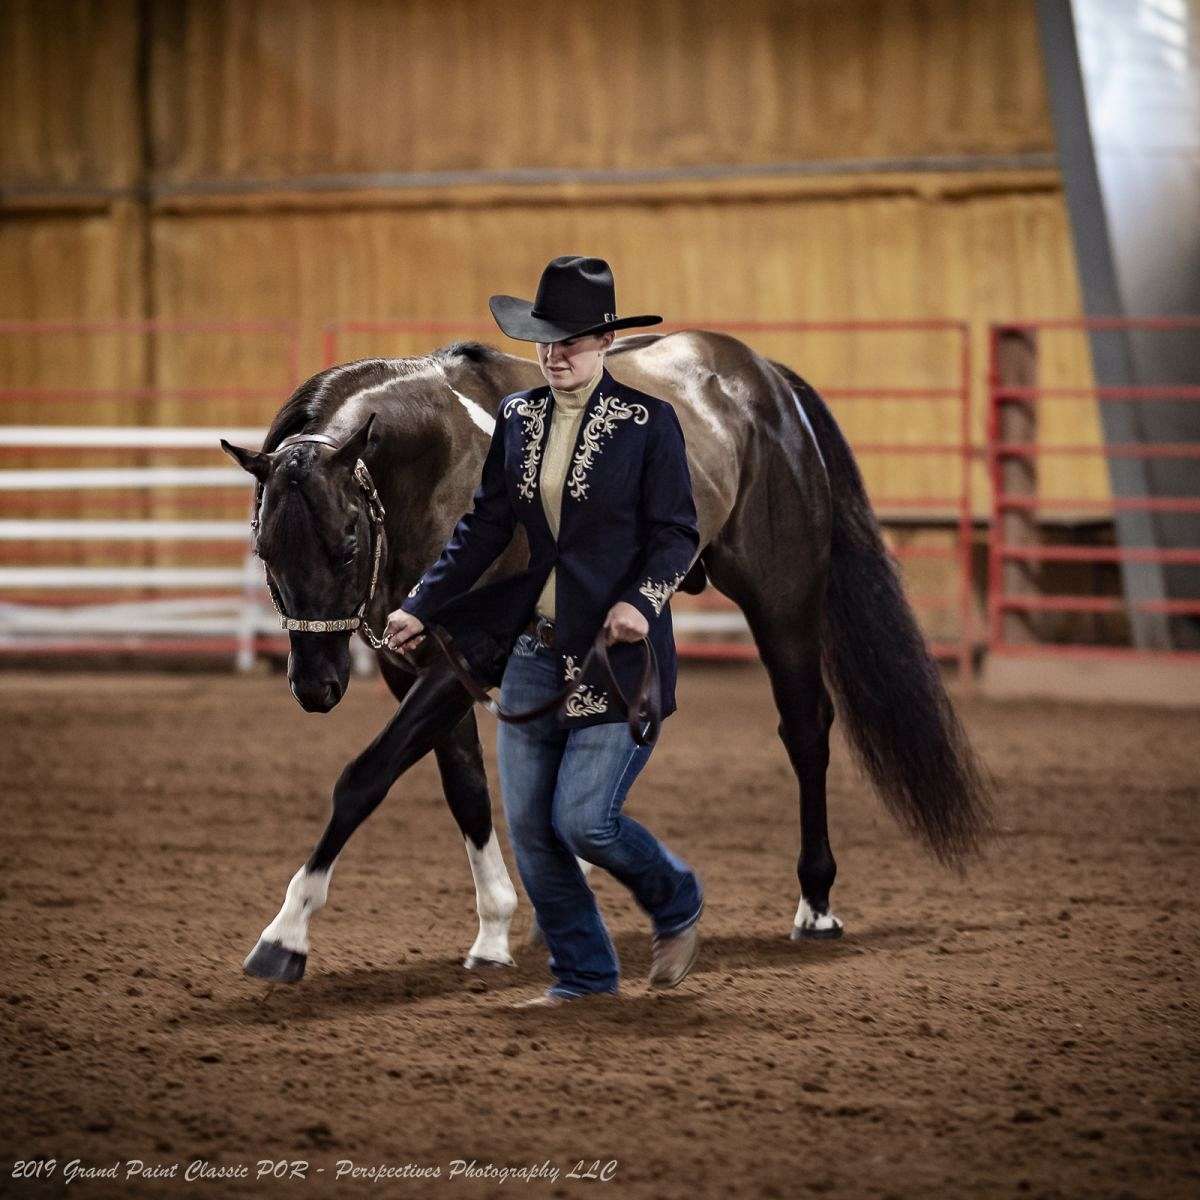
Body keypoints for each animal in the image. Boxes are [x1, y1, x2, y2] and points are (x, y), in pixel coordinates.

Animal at [220, 331, 993, 982]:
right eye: (264, 550)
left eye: (348, 542)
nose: (315, 686)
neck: (443, 461)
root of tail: (766, 379)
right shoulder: (412, 664)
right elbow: (464, 787)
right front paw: (495, 930)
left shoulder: (470, 654)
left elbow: (365, 776)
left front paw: (285, 936)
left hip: (784, 600)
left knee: (805, 730)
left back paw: (816, 906)